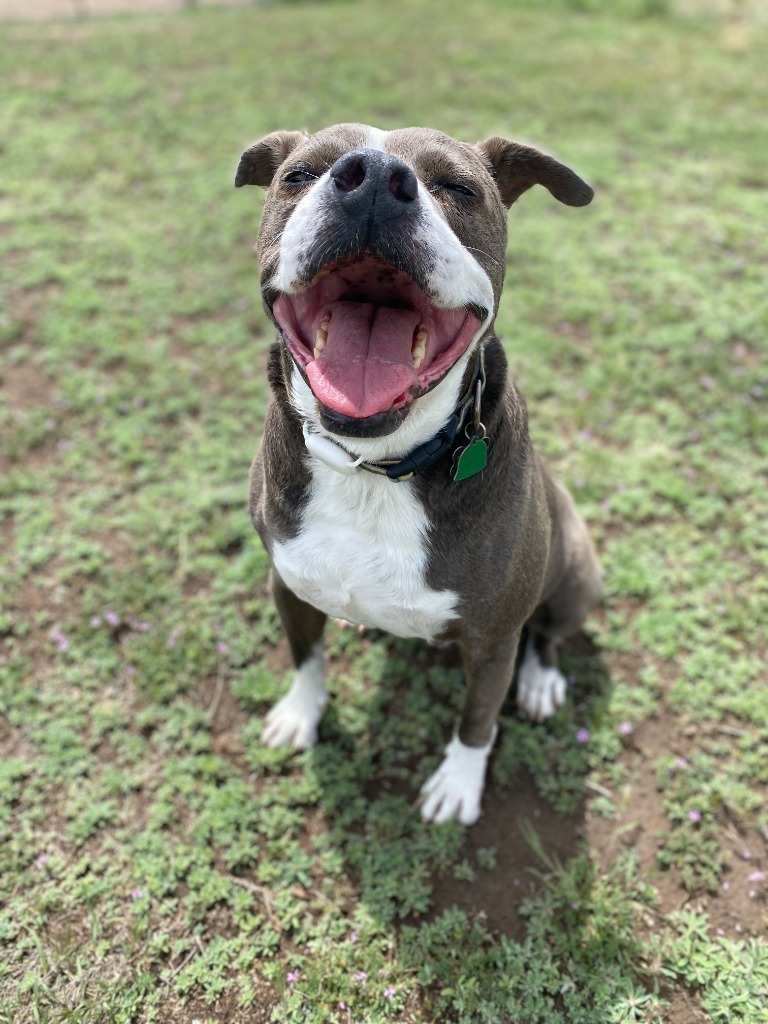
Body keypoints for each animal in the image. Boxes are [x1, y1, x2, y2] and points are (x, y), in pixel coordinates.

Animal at [236, 123, 606, 823]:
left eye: (458, 188)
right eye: (299, 175)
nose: (375, 180)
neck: (374, 467)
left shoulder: (492, 640)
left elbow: (478, 720)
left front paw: (458, 786)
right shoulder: (287, 584)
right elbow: (307, 658)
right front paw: (301, 715)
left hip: (576, 569)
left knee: (549, 634)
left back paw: (541, 681)